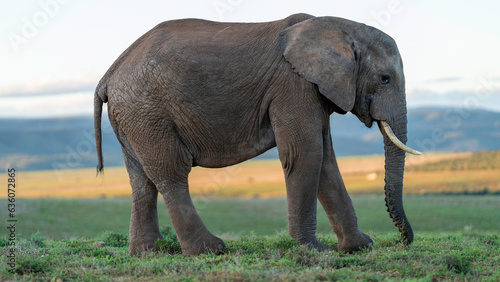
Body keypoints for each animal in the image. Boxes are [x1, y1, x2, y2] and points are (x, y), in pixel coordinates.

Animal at [94, 12, 422, 256]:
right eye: (385, 79)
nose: (402, 242)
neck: (339, 28)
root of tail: (108, 75)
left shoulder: (314, 90)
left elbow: (326, 160)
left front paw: (359, 247)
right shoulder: (294, 85)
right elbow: (306, 154)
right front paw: (311, 249)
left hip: (133, 116)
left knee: (141, 179)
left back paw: (148, 252)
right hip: (148, 111)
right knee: (171, 172)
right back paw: (210, 250)